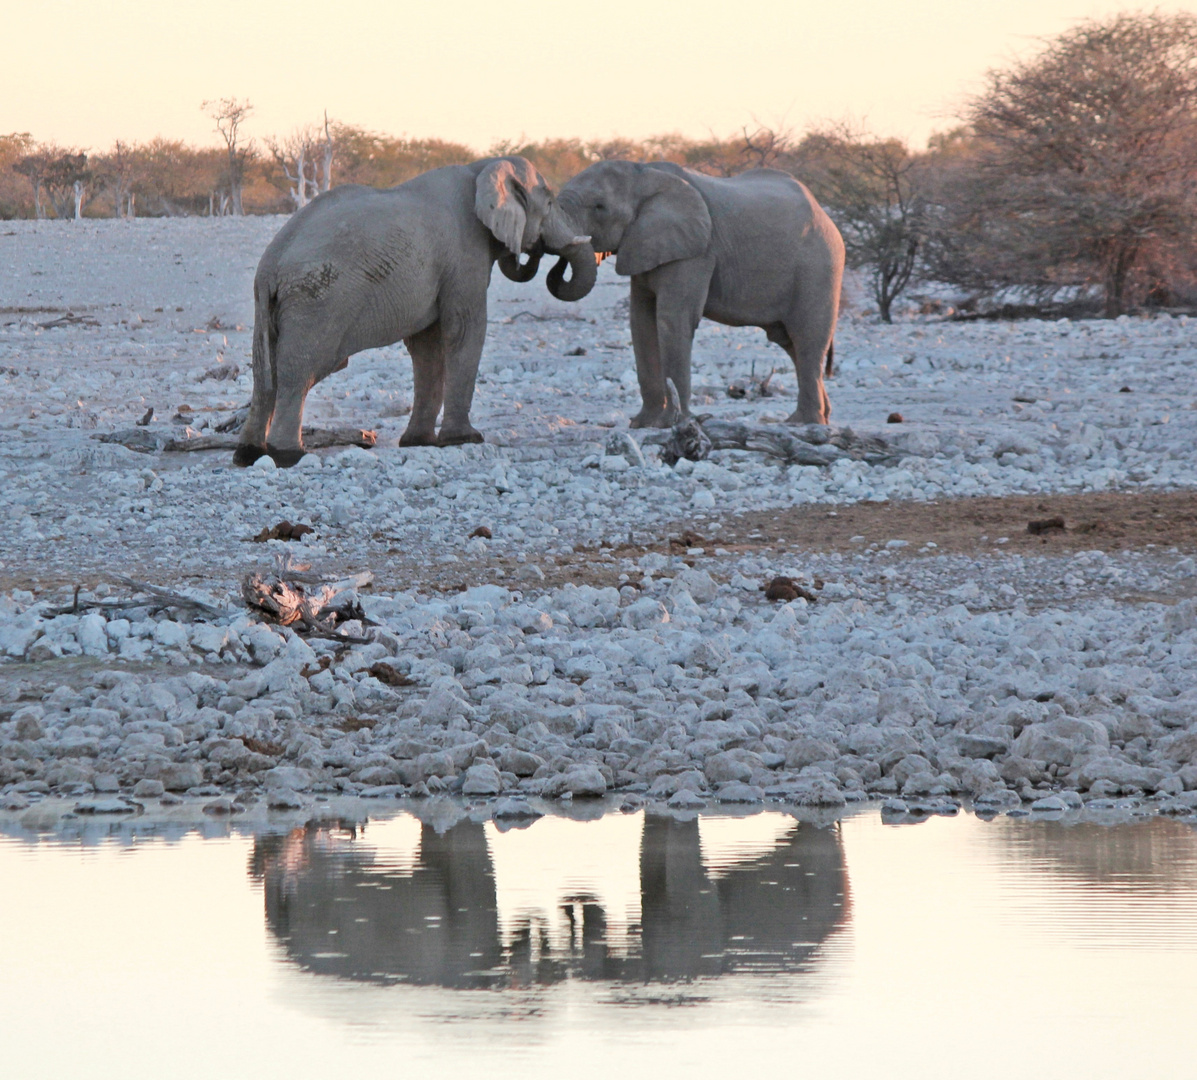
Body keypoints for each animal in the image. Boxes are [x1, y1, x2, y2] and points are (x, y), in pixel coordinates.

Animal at [231, 156, 596, 469]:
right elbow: (465, 330)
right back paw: (289, 455)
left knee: (265, 374)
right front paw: (466, 439)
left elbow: (428, 347)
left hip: (272, 306)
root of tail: (270, 266)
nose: (537, 252)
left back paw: (248, 454)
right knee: (299, 372)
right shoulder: (464, 254)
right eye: (548, 204)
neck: (482, 167)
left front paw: (419, 442)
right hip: (315, 300)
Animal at [550, 160, 842, 426]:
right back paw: (821, 418)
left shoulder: (695, 252)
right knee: (790, 342)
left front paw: (676, 423)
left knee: (807, 339)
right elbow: (641, 323)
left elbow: (672, 321)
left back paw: (803, 423)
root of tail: (825, 215)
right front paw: (644, 424)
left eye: (599, 207)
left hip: (819, 268)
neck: (644, 172)